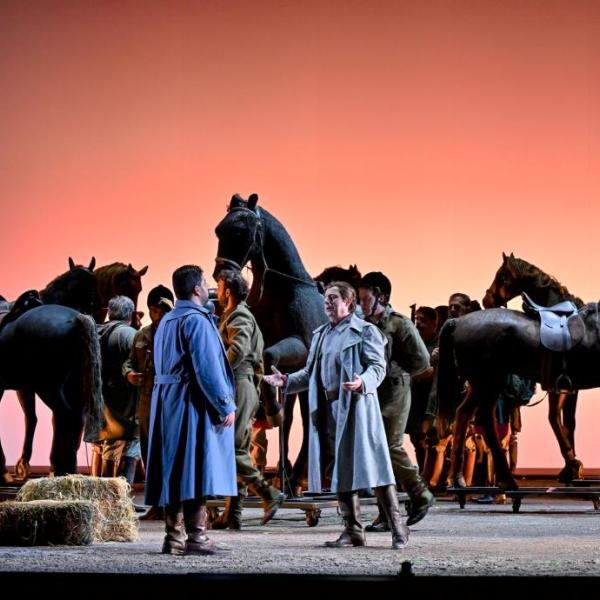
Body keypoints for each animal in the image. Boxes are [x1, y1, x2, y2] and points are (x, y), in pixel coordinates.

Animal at [214, 195, 328, 490]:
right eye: (219, 230)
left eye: (241, 230)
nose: (222, 274)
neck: (282, 292)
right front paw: (265, 412)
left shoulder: (298, 346)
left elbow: (268, 355)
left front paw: (270, 412)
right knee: (293, 418)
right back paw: (286, 476)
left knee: (308, 423)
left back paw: (298, 476)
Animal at [436, 302, 600, 490]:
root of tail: (457, 322)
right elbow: (560, 420)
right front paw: (572, 467)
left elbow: (564, 422)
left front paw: (570, 469)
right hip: (489, 382)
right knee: (483, 418)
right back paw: (505, 478)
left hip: (482, 384)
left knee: (465, 413)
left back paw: (458, 478)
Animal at [482, 252, 584, 482]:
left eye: (502, 276)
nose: (487, 300)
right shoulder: (572, 388)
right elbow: (568, 423)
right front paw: (570, 468)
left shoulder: (559, 386)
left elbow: (555, 419)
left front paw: (573, 463)